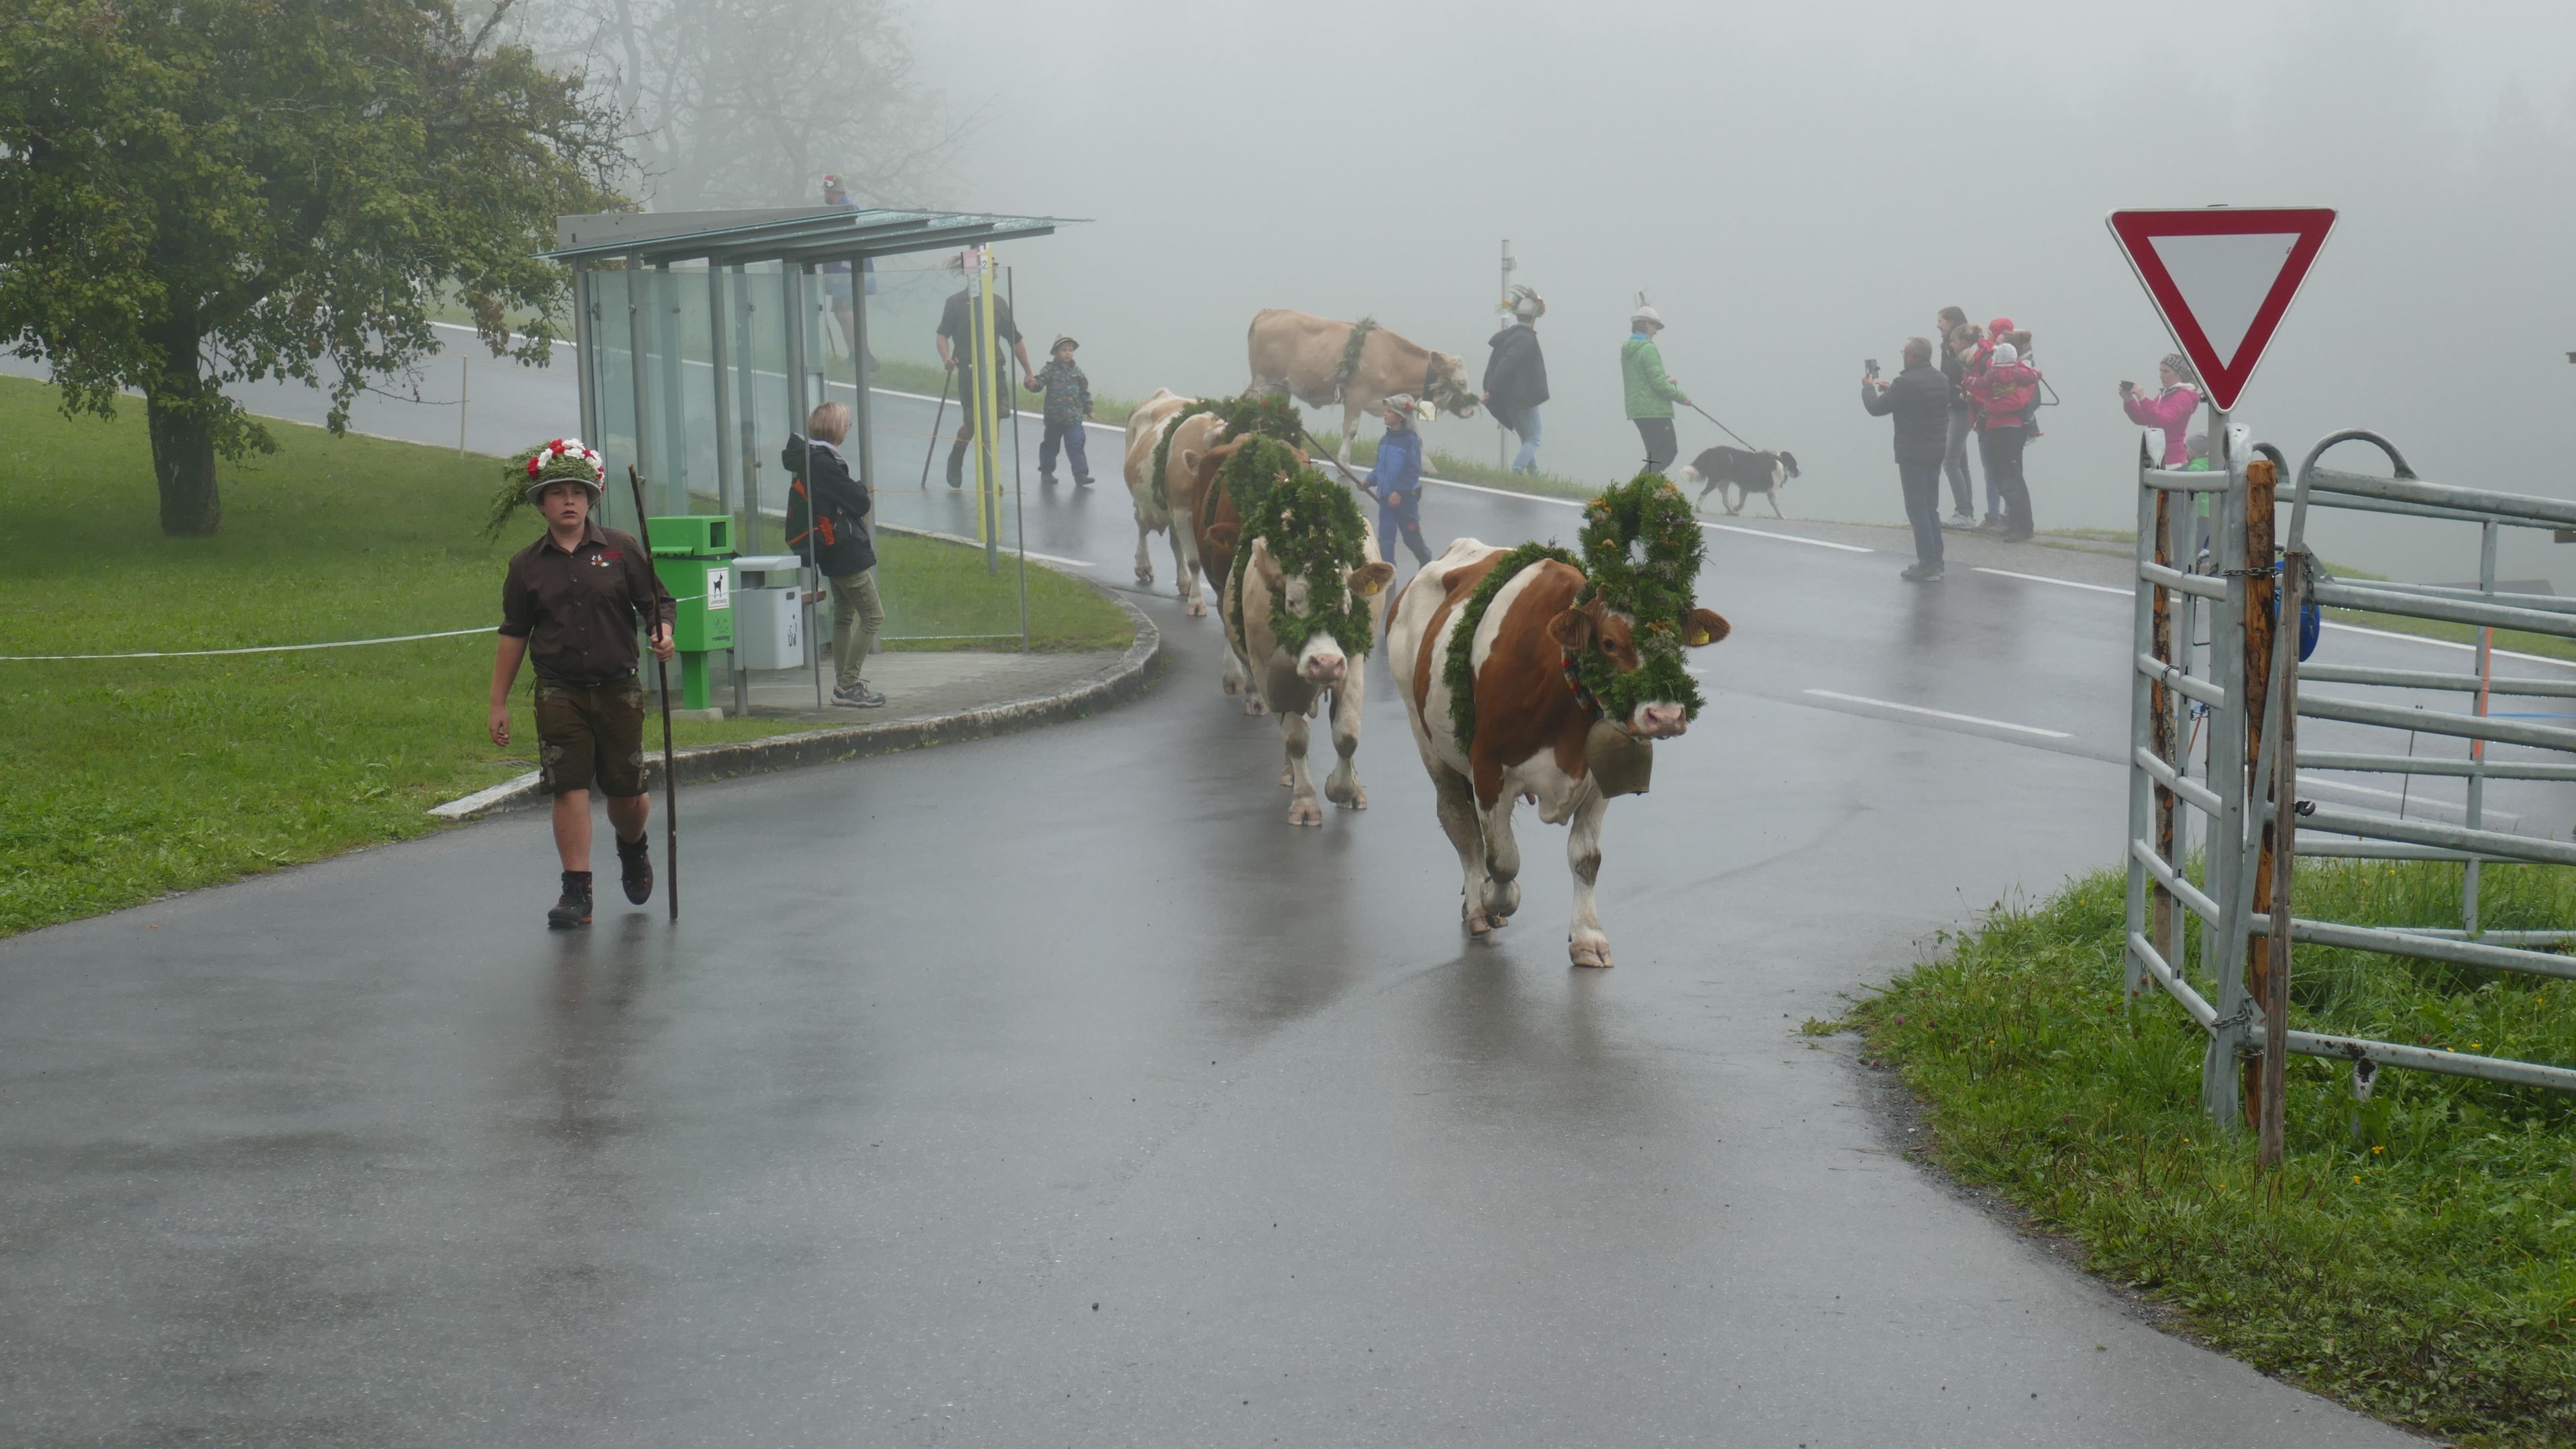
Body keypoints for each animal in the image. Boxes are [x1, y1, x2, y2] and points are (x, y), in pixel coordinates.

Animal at [1120, 388, 1222, 616]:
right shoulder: (1183, 511)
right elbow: (1195, 561)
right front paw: (1197, 603)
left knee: (1176, 543)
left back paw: (1184, 581)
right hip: (1145, 503)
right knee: (1142, 527)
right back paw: (1143, 566)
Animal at [1246, 309, 1479, 465]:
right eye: (1461, 382)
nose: (1471, 410)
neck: (1392, 359)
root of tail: (1269, 312)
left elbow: (1415, 435)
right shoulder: (1356, 395)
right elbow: (1350, 431)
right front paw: (1344, 464)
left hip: (1280, 386)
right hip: (1264, 380)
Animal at [1387, 538, 1730, 967]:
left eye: (1677, 643)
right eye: (1608, 643)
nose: (1665, 715)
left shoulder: (1598, 780)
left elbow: (1586, 858)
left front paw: (1588, 937)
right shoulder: (1488, 769)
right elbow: (1504, 859)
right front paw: (1496, 897)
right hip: (1426, 738)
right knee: (1460, 823)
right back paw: (1480, 908)